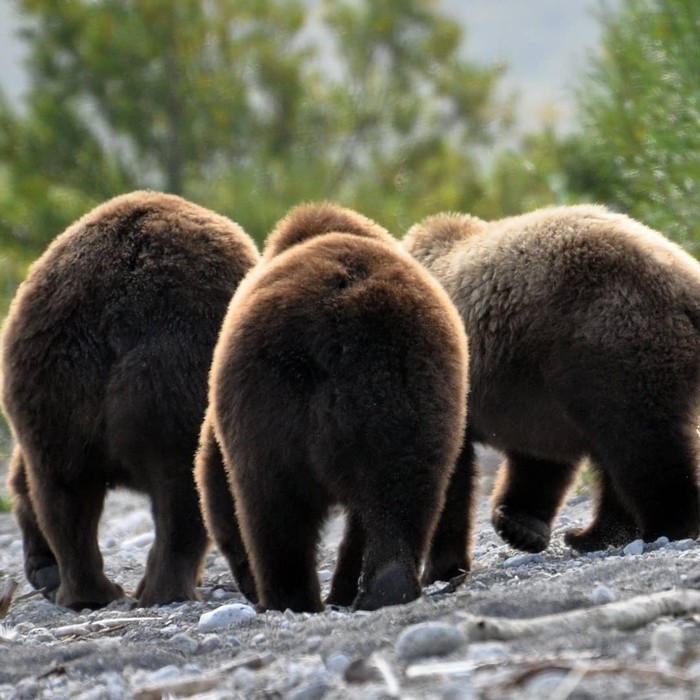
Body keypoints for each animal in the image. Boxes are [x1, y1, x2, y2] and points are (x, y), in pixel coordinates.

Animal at [1, 190, 258, 608]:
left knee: (63, 492)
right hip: (175, 371)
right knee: (181, 491)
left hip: (55, 377)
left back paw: (84, 589)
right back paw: (164, 590)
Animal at [196, 200, 470, 608]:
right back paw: (387, 585)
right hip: (410, 392)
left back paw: (289, 598)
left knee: (273, 511)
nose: (245, 585)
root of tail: (335, 329)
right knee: (405, 491)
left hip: (267, 404)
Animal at [402, 204, 700, 564]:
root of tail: (684, 278)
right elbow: (539, 461)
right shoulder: (532, 397)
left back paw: (666, 525)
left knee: (640, 442)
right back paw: (591, 535)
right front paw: (521, 526)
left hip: (610, 337)